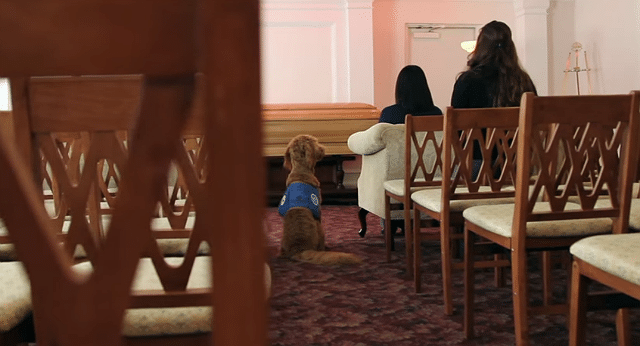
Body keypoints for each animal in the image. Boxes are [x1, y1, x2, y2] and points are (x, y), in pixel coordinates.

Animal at [278, 135, 362, 264]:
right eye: (315, 142)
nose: (324, 147)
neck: (300, 170)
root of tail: (299, 249)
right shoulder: (319, 211)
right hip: (320, 229)